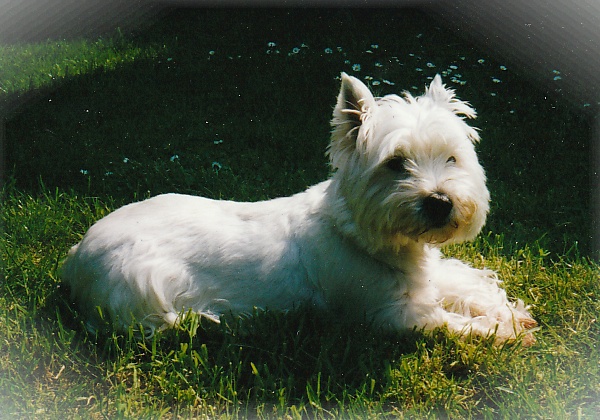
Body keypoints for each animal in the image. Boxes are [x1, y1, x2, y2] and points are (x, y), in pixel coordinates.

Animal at [61, 73, 537, 344]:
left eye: (452, 158)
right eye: (395, 163)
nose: (440, 203)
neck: (363, 236)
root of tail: (75, 255)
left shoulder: (428, 276)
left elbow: (466, 284)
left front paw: (510, 313)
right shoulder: (386, 314)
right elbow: (446, 321)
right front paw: (503, 330)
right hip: (139, 286)